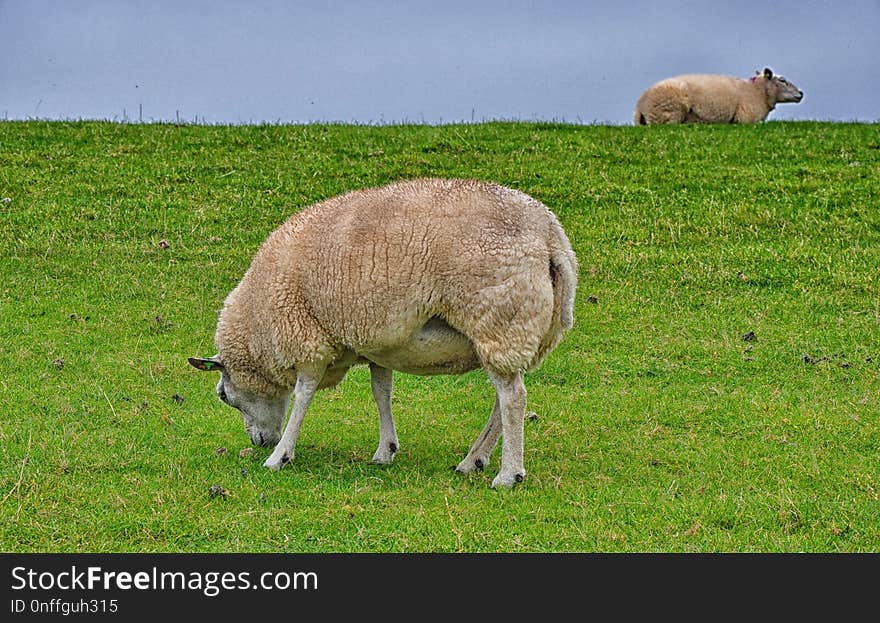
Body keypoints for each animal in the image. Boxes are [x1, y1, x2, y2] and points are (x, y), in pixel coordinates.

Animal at [187, 176, 576, 488]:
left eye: (224, 396)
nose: (260, 442)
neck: (257, 327)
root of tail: (551, 236)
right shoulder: (376, 344)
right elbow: (381, 392)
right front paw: (385, 450)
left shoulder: (308, 339)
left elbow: (303, 396)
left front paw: (280, 455)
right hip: (518, 331)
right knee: (504, 397)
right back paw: (473, 460)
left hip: (499, 318)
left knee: (513, 398)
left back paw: (508, 474)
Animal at [632, 67, 804, 125]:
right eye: (782, 80)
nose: (801, 93)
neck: (757, 91)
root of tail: (641, 106)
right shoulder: (746, 119)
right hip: (672, 111)